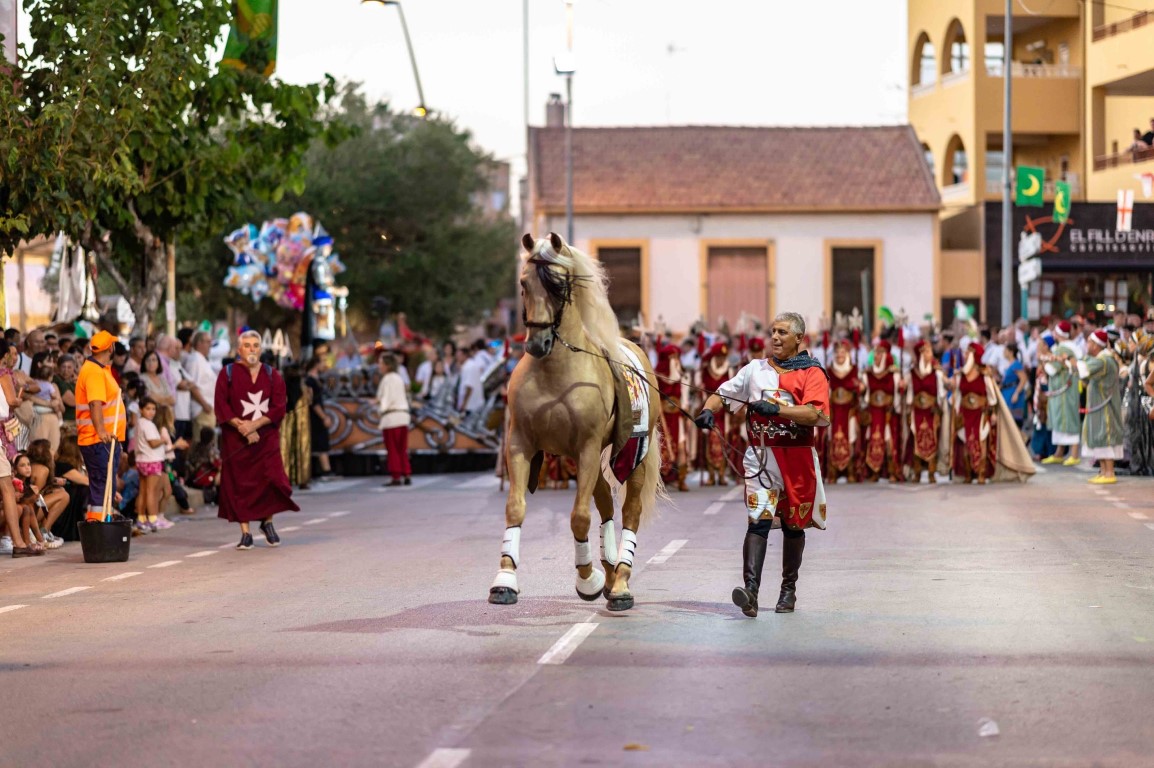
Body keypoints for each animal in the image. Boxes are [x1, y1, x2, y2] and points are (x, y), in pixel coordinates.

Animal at [488, 232, 664, 612]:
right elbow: (515, 508)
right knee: (605, 503)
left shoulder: (586, 448)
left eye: (558, 286)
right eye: (524, 284)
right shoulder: (521, 445)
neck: (556, 373)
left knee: (629, 511)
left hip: (632, 454)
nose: (537, 343)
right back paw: (611, 571)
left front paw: (588, 579)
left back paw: (621, 580)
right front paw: (505, 580)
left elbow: (580, 516)